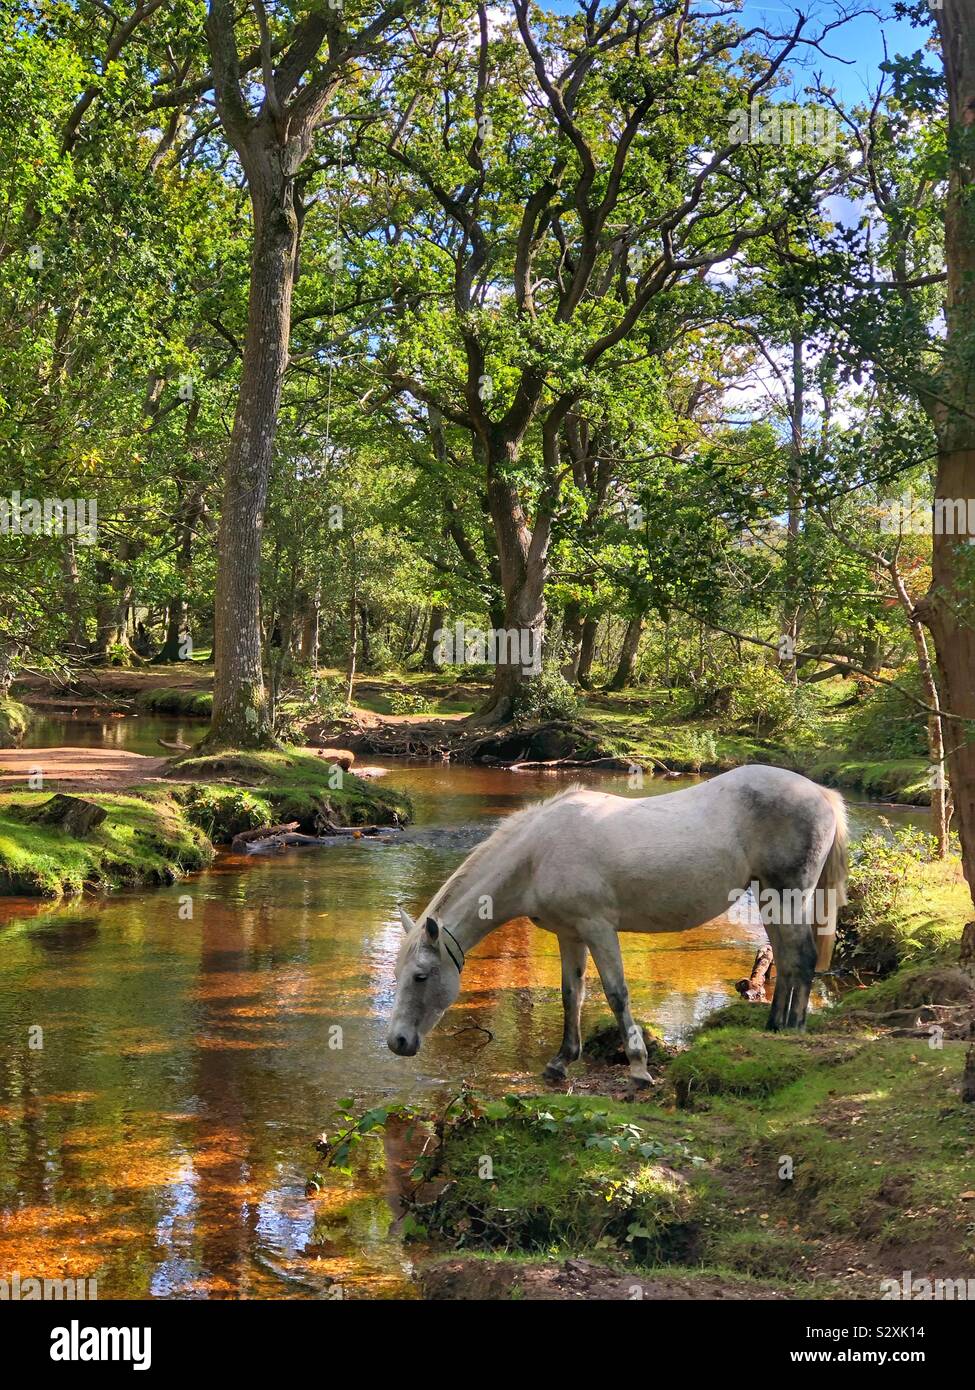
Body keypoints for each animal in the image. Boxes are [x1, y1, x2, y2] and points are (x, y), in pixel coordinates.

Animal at [386, 765, 847, 1085]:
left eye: (421, 976)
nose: (397, 1042)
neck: (538, 853)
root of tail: (820, 793)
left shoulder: (598, 928)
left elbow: (616, 993)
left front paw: (639, 1069)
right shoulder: (569, 933)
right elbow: (572, 994)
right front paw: (561, 1061)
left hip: (791, 893)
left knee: (802, 958)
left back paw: (794, 1029)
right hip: (769, 896)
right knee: (785, 960)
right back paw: (774, 1029)